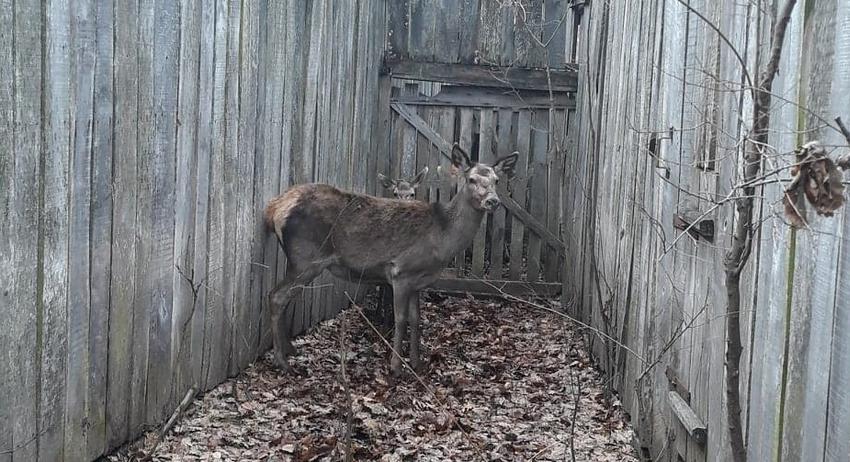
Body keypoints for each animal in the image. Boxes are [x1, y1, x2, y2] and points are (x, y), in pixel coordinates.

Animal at [264, 143, 516, 378]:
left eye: (496, 180)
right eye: (471, 179)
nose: (493, 201)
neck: (442, 237)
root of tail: (275, 207)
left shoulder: (418, 280)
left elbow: (416, 319)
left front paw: (417, 363)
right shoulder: (401, 272)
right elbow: (400, 319)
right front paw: (396, 367)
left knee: (283, 297)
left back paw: (289, 350)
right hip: (306, 258)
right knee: (276, 296)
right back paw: (283, 362)